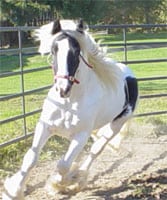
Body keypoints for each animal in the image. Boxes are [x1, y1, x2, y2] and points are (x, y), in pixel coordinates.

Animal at [2, 19, 138, 200]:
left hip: (115, 126)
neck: (68, 103)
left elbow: (63, 165)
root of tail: (129, 74)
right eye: (54, 50)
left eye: (76, 52)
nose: (63, 88)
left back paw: (78, 178)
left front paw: (59, 184)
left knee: (96, 150)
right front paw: (13, 191)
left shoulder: (81, 135)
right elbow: (31, 158)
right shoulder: (45, 126)